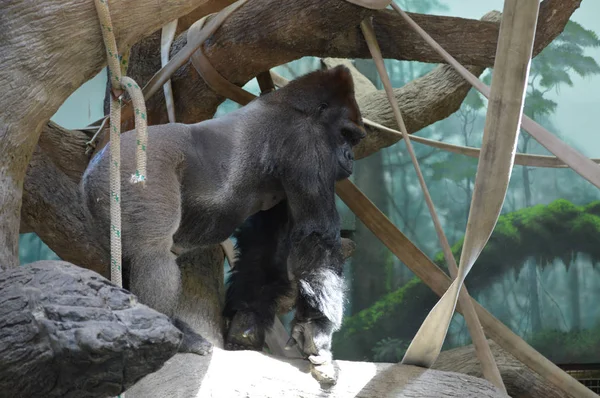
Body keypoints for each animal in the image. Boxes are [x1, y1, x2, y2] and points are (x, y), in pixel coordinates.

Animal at [81, 64, 366, 364]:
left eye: (354, 140)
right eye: (345, 135)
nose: (349, 158)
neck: (298, 108)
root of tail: (95, 165)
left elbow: (268, 241)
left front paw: (247, 321)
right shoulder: (308, 143)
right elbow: (316, 233)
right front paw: (317, 327)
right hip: (135, 167)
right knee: (152, 252)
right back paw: (167, 329)